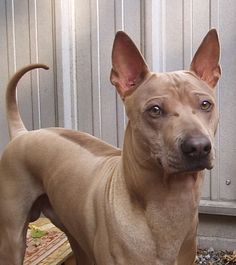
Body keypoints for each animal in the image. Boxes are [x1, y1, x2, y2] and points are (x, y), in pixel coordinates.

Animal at [0, 29, 221, 264]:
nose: (198, 147)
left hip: (74, 233)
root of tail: (23, 133)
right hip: (13, 239)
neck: (169, 204)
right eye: (155, 110)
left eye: (205, 105)